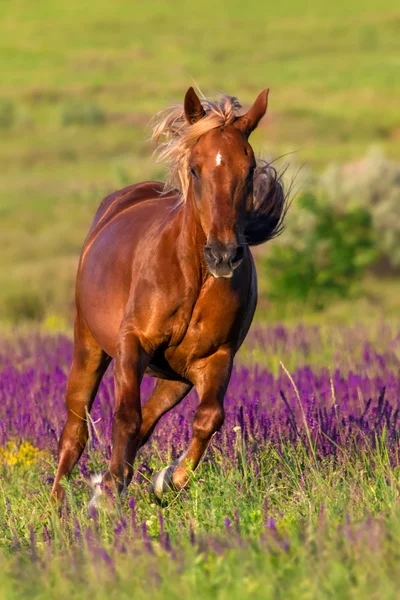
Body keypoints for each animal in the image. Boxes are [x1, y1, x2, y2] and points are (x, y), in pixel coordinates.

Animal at [50, 86, 288, 504]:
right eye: (195, 168)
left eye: (249, 170)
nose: (223, 254)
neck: (191, 276)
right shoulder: (133, 344)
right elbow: (125, 418)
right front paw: (109, 497)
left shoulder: (215, 358)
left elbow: (208, 418)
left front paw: (168, 480)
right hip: (89, 345)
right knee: (75, 428)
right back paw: (56, 507)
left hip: (176, 377)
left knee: (148, 420)